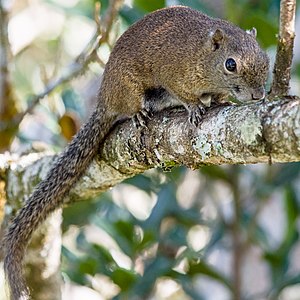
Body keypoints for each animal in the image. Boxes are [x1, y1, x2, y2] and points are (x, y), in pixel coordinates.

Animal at [2, 5, 270, 300]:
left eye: (265, 58)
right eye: (230, 64)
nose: (259, 95)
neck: (200, 52)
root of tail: (105, 100)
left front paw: (220, 101)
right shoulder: (173, 74)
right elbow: (185, 96)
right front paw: (194, 107)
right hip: (130, 88)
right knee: (132, 106)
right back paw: (140, 114)